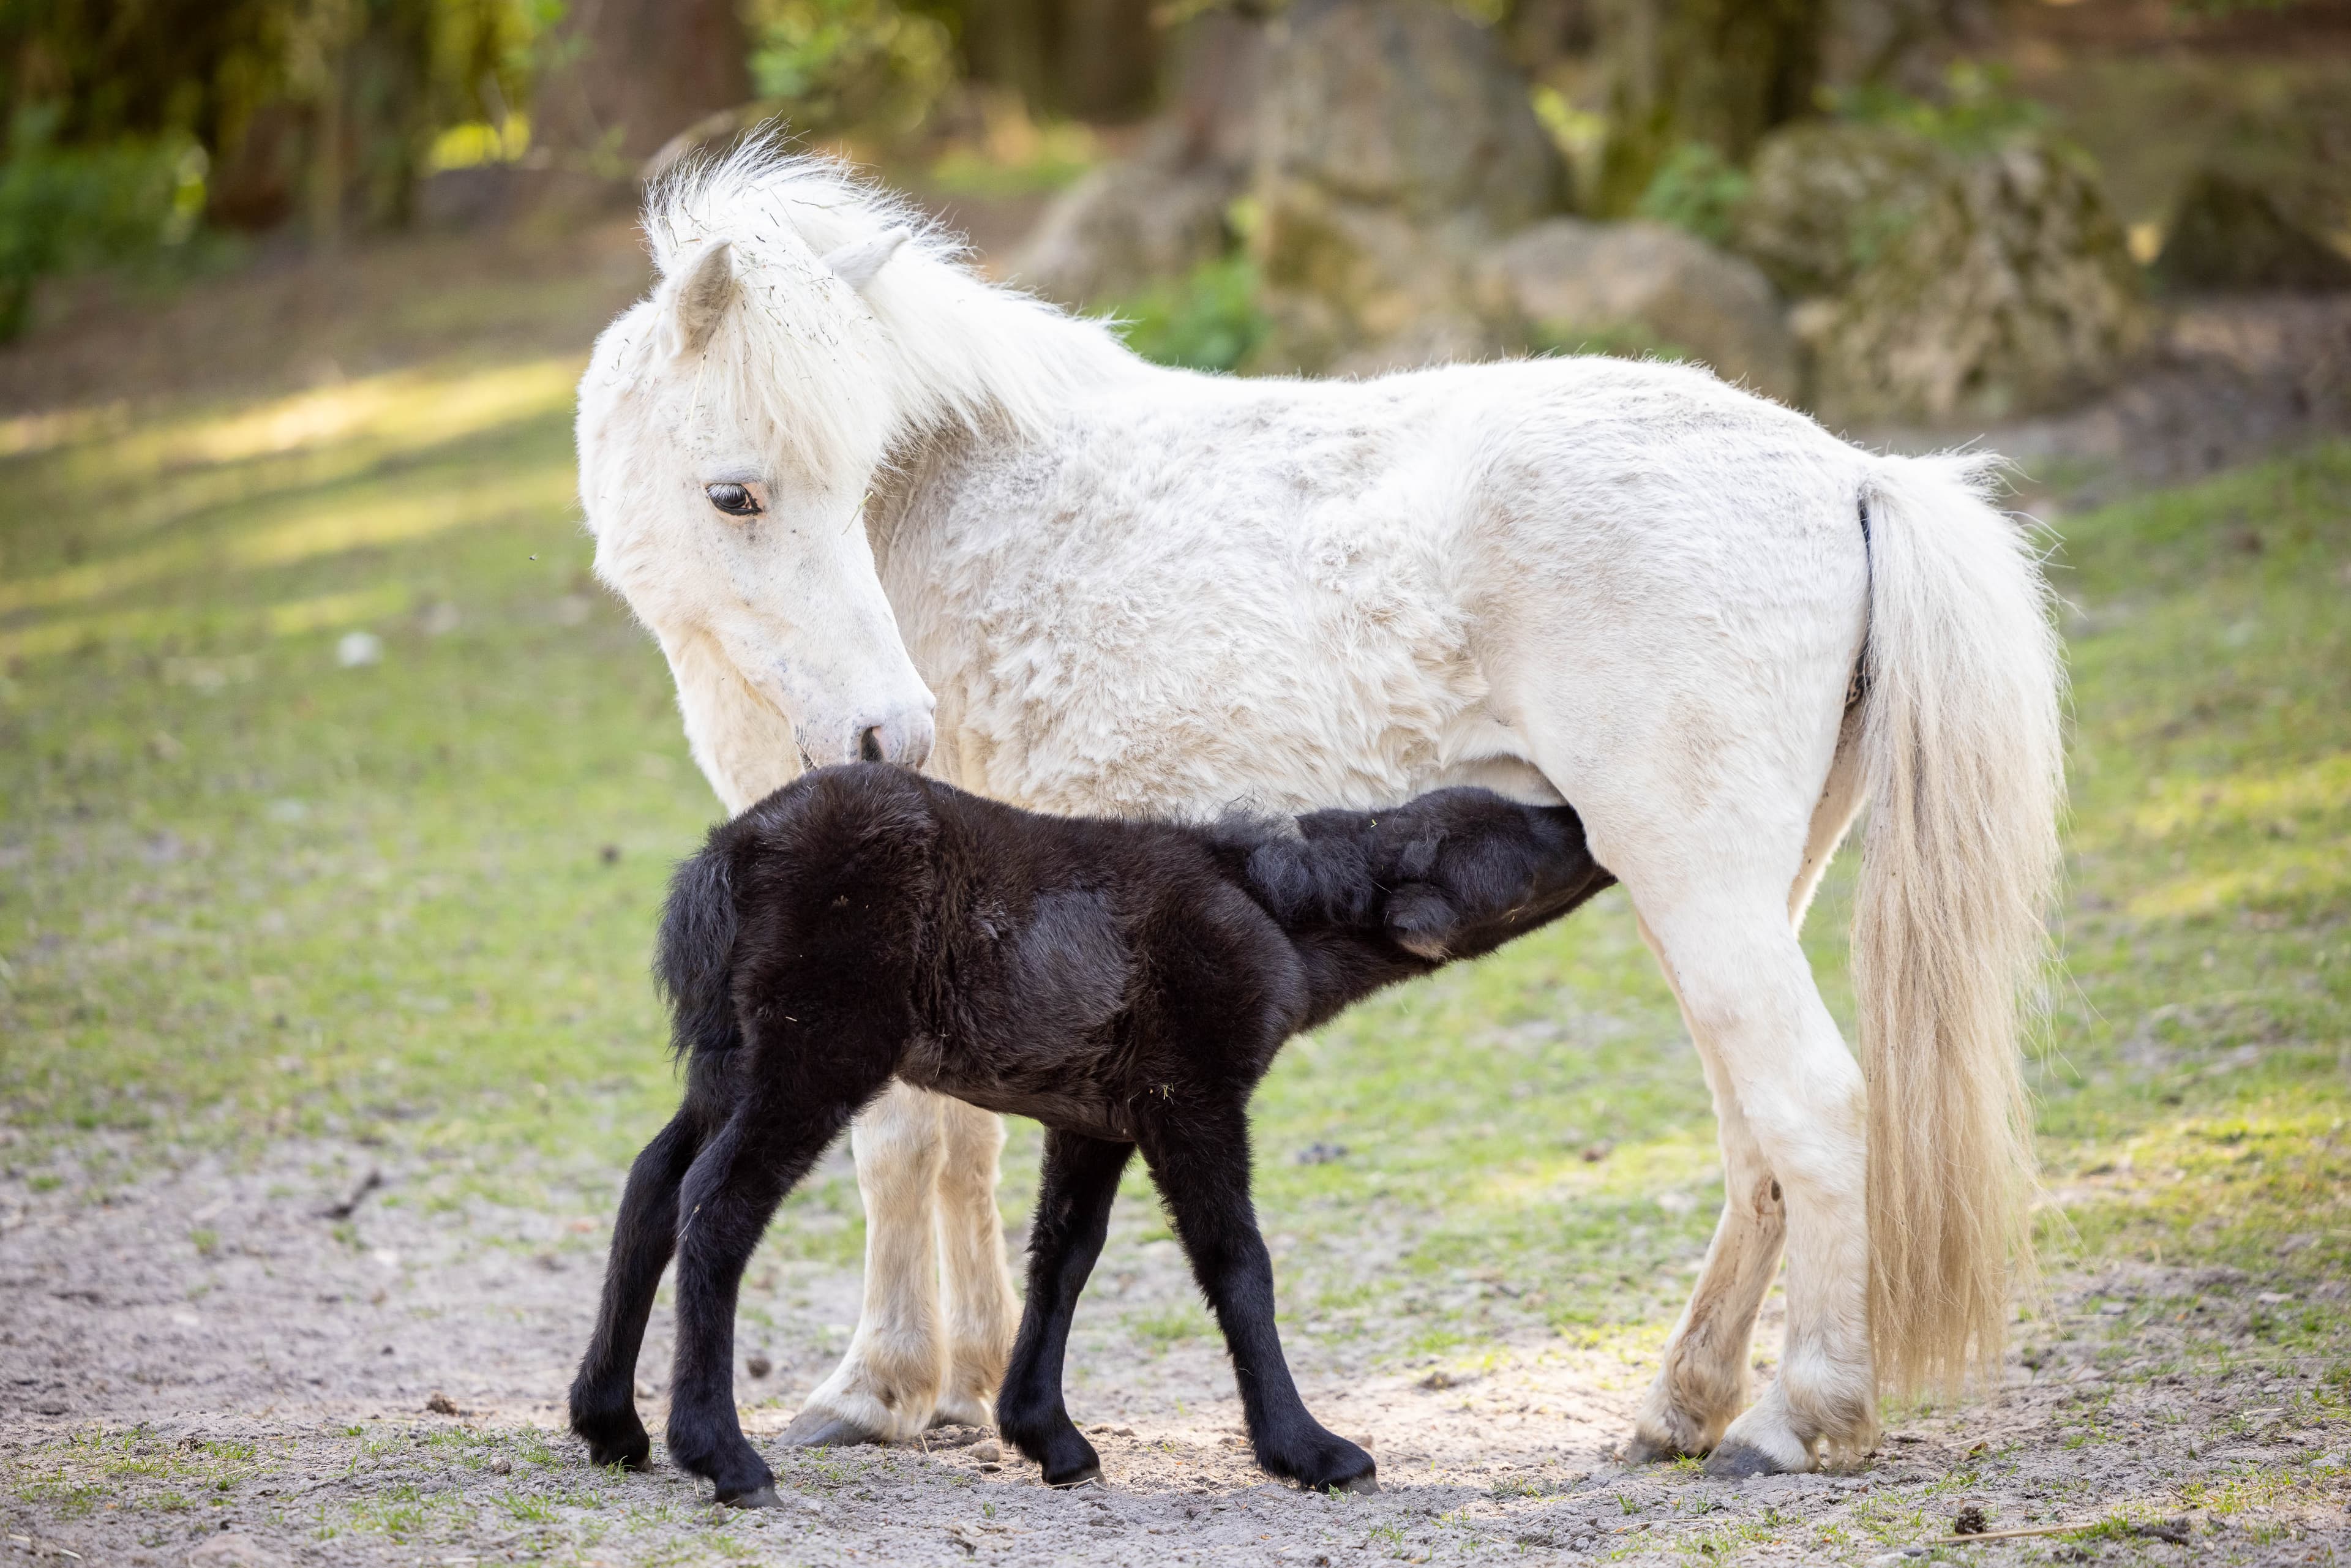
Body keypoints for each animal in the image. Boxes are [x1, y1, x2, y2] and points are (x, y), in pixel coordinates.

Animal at [569, 765, 1614, 1503]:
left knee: (652, 1185)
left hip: (732, 1057)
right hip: (814, 1051)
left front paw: (1048, 1435)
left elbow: (1064, 1254)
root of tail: (730, 854)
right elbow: (1236, 1260)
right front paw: (1307, 1449)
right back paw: (722, 1456)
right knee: (716, 1203)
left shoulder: (1097, 1113)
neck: (1272, 908)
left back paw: (610, 1424)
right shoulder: (1191, 1093)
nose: (1581, 817)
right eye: (1513, 835)